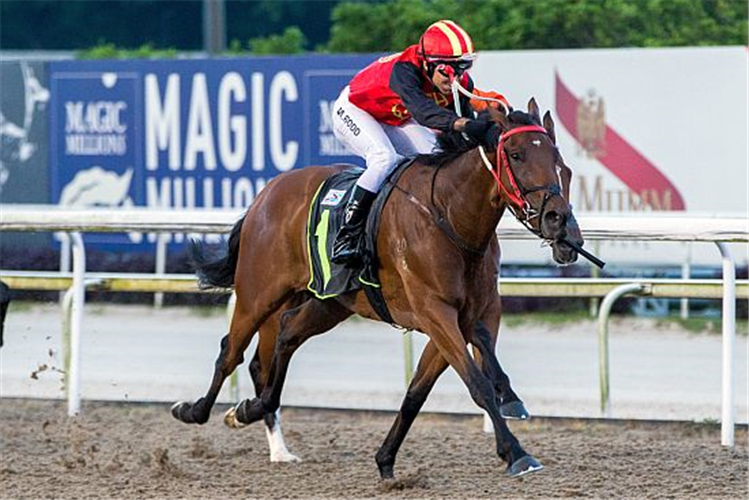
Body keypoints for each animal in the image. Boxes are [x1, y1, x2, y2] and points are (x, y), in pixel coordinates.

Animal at [171, 99, 584, 478]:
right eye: (516, 155)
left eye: (563, 166)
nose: (560, 223)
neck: (451, 216)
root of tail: (266, 193)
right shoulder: (435, 312)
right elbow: (477, 383)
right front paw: (516, 452)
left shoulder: (476, 313)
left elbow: (419, 391)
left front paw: (386, 459)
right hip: (259, 292)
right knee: (231, 352)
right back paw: (196, 410)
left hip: (329, 301)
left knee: (283, 338)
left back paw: (257, 417)